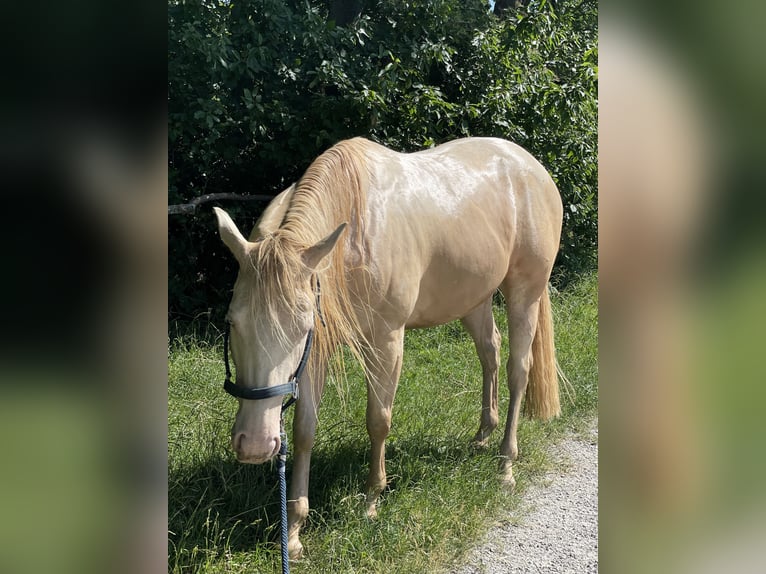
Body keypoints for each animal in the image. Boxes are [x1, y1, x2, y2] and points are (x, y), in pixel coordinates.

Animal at [214, 136, 564, 564]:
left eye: (301, 327)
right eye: (233, 322)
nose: (255, 445)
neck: (354, 238)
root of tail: (531, 166)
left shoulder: (386, 341)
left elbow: (378, 420)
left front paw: (371, 501)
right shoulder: (315, 355)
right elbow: (303, 430)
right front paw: (293, 530)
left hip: (524, 293)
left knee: (518, 370)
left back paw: (505, 465)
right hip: (474, 299)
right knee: (489, 353)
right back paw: (483, 434)